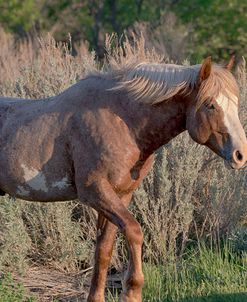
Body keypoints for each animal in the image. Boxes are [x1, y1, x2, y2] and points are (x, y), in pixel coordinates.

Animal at [0, 56, 246, 300]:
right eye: (211, 105)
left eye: (235, 103)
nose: (240, 154)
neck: (122, 122)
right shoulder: (95, 192)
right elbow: (134, 231)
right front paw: (132, 292)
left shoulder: (121, 195)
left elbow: (104, 250)